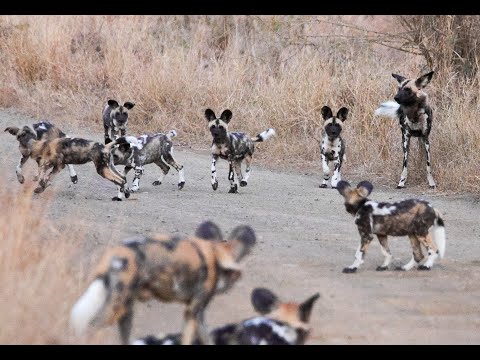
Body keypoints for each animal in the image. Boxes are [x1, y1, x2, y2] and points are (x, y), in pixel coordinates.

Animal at [70, 221, 256, 344]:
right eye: (234, 274)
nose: (229, 286)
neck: (214, 254)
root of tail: (119, 252)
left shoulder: (197, 314)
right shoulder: (193, 311)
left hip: (124, 308)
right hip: (115, 309)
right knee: (91, 329)